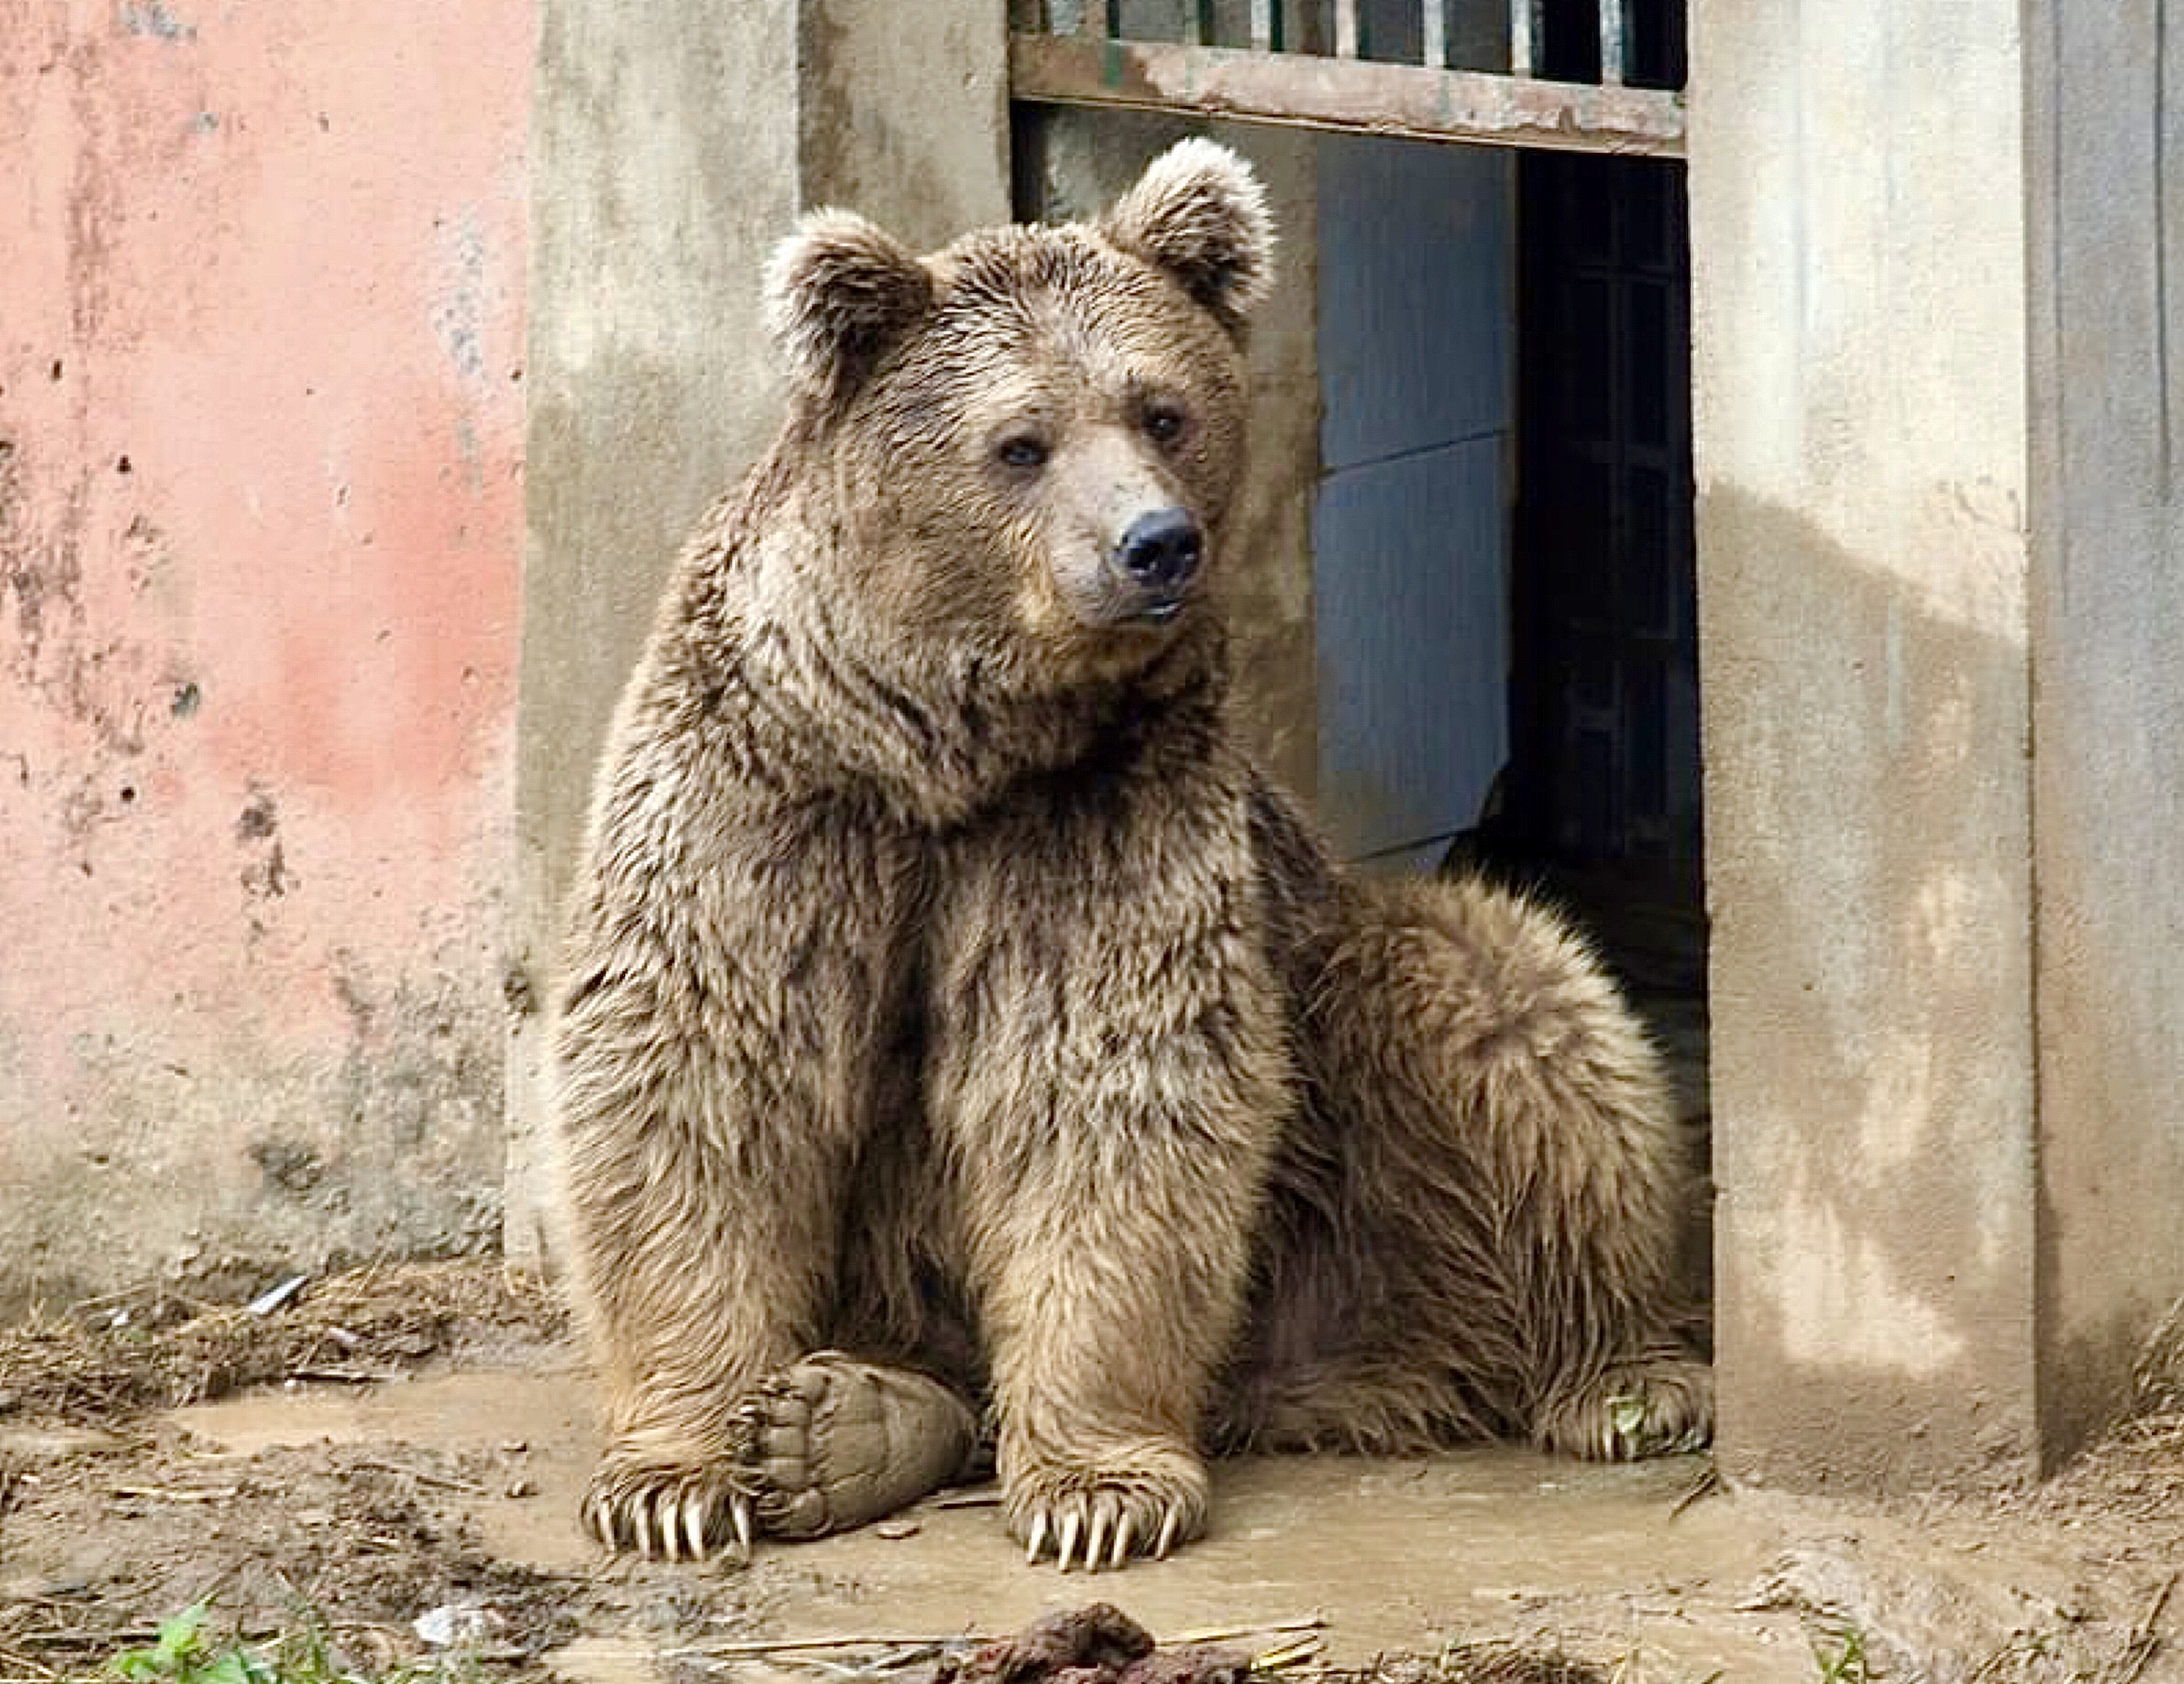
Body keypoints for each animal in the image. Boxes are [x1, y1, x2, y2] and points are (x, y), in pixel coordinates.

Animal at [550, 137, 1703, 1572]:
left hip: (1350, 1090)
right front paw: (676, 1475)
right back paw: (842, 1426)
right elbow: (696, 1075)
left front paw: (1098, 1490)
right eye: (1020, 441)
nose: (1155, 543)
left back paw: (1623, 1378)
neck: (940, 748)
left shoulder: (1099, 819)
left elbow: (1108, 1099)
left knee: (1512, 1009)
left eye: (1160, 410)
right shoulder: (770, 802)